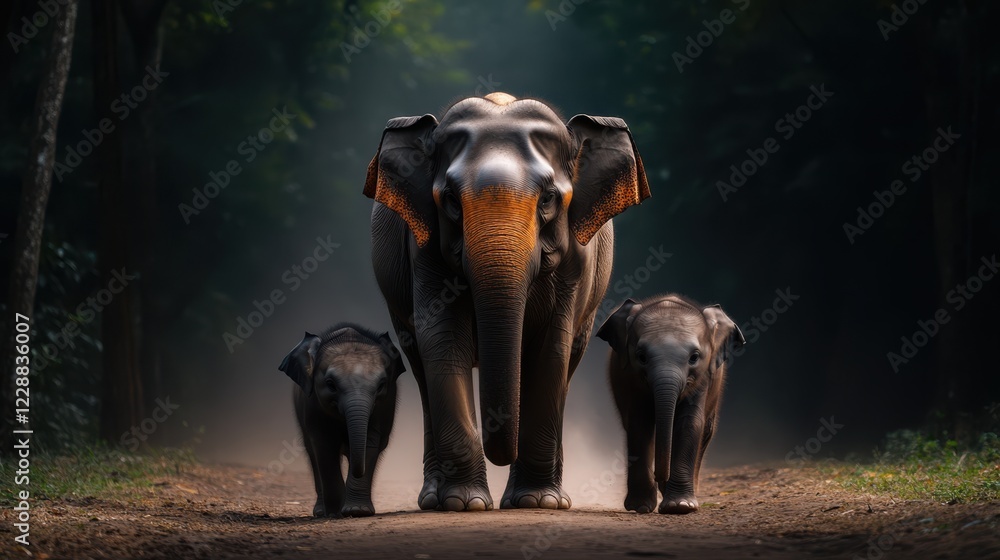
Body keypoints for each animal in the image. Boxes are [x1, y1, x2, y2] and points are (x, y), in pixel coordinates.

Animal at [278, 323, 406, 517]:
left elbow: (370, 441)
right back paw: (321, 512)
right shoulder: (311, 404)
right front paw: (335, 513)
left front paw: (357, 511)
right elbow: (324, 444)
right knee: (311, 451)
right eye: (330, 384)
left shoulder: (385, 404)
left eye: (381, 385)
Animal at [364, 92, 650, 511]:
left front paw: (536, 502)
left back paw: (553, 497)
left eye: (548, 198)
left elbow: (551, 348)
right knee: (419, 364)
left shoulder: (576, 259)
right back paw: (434, 499)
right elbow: (443, 340)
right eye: (451, 200)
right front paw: (464, 503)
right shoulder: (423, 249)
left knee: (569, 360)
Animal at [596, 295, 744, 514]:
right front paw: (640, 506)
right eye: (641, 357)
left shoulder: (703, 379)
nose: (660, 477)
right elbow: (639, 424)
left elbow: (689, 423)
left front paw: (680, 506)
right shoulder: (630, 376)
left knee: (706, 430)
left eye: (694, 357)